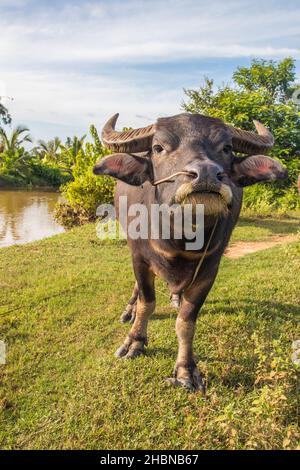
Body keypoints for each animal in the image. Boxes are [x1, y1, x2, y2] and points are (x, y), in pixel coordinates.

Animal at [93, 112, 286, 392]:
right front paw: (134, 342)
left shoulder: (209, 269)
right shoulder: (139, 258)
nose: (206, 173)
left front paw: (186, 370)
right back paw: (130, 310)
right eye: (158, 148)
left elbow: (186, 321)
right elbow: (147, 303)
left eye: (226, 148)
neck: (180, 238)